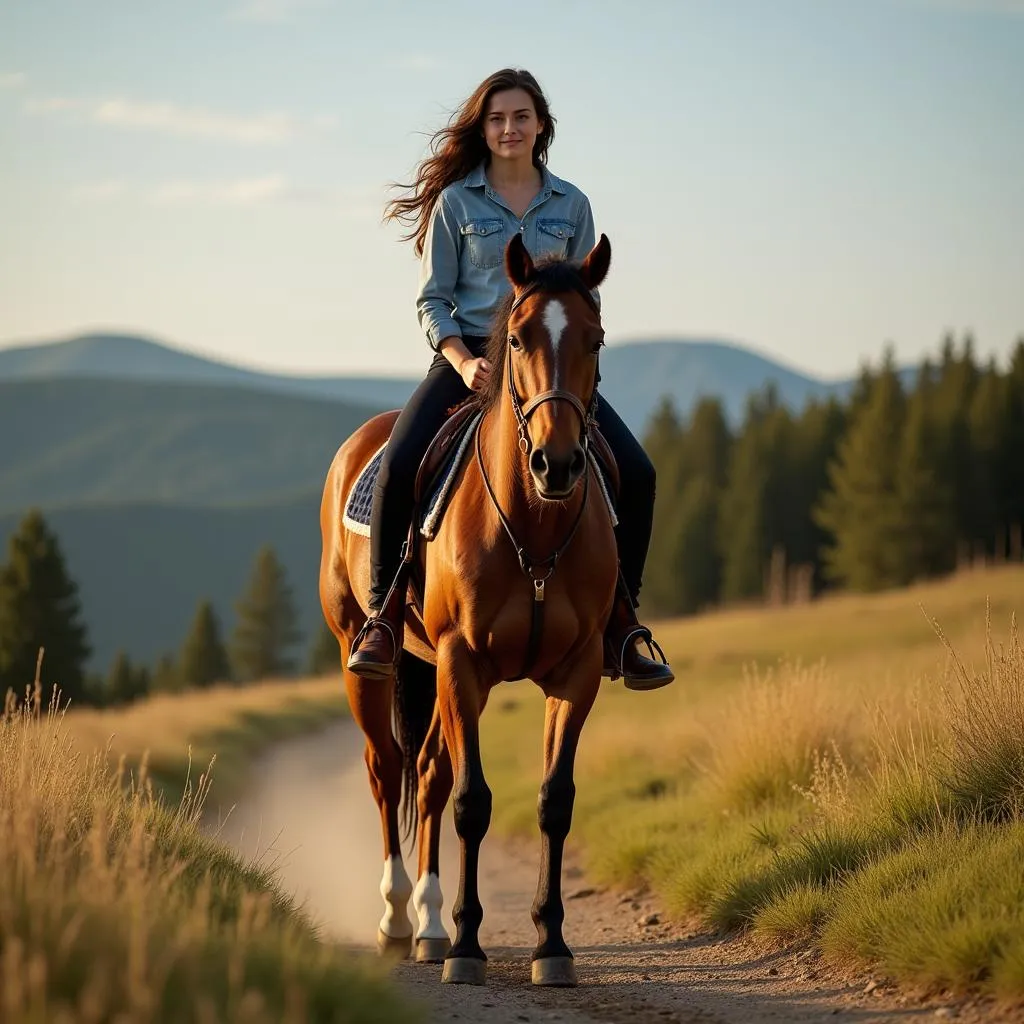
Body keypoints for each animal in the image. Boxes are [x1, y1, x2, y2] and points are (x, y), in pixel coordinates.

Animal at [317, 230, 614, 983]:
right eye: (516, 338)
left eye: (595, 337)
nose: (556, 465)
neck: (532, 529)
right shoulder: (461, 662)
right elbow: (472, 802)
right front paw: (469, 946)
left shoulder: (578, 670)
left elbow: (554, 801)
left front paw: (550, 943)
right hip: (366, 655)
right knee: (387, 770)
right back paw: (398, 919)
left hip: (427, 667)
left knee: (426, 770)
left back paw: (428, 924)